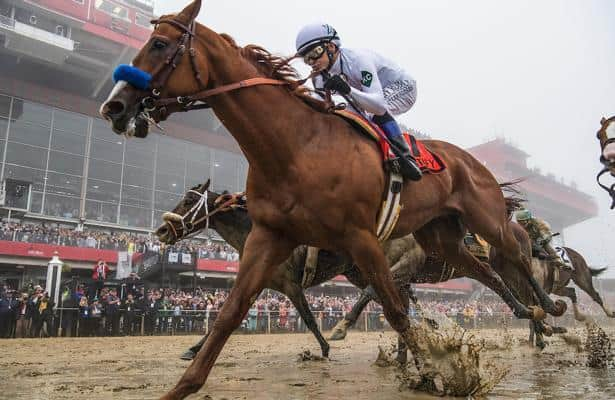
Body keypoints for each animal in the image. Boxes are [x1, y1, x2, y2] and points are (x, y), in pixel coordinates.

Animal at [100, 1, 564, 396]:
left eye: (159, 44)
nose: (113, 105)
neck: (297, 147)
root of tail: (473, 160)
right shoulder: (271, 237)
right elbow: (230, 313)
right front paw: (183, 385)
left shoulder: (361, 238)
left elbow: (395, 311)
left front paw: (433, 373)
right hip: (441, 237)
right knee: (485, 272)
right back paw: (530, 314)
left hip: (487, 220)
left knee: (516, 258)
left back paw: (549, 308)